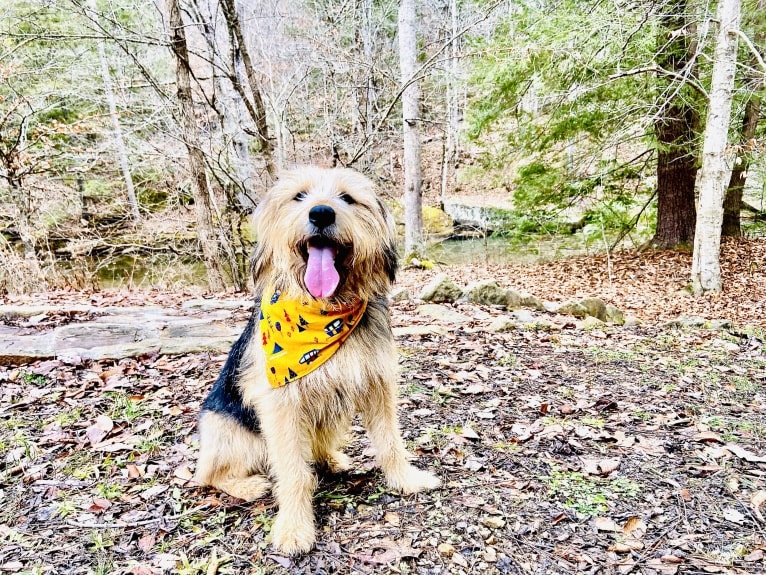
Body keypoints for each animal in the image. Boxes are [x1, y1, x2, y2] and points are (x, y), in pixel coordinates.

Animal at [195, 165, 440, 552]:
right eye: (299, 196)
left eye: (347, 198)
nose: (321, 213)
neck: (325, 308)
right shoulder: (281, 406)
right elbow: (294, 472)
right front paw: (294, 528)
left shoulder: (378, 384)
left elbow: (390, 442)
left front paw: (406, 479)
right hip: (227, 429)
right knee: (207, 474)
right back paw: (247, 484)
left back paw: (332, 459)